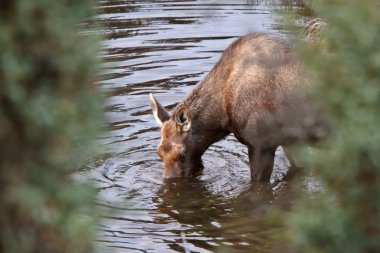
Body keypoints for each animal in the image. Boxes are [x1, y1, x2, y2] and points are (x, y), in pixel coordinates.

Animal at [150, 32, 326, 182]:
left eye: (181, 154)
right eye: (158, 152)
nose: (170, 181)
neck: (223, 116)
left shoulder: (261, 144)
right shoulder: (291, 141)